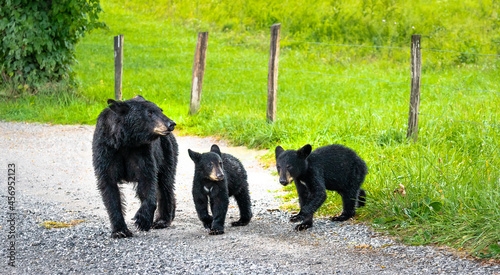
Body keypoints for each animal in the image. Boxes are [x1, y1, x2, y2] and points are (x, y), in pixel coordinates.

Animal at [92, 96, 178, 238]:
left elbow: (147, 180)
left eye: (160, 110)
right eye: (149, 113)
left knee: (165, 183)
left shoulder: (142, 151)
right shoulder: (105, 151)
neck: (126, 141)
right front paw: (120, 230)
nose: (171, 123)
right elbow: (109, 187)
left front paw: (142, 220)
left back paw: (162, 220)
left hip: (167, 152)